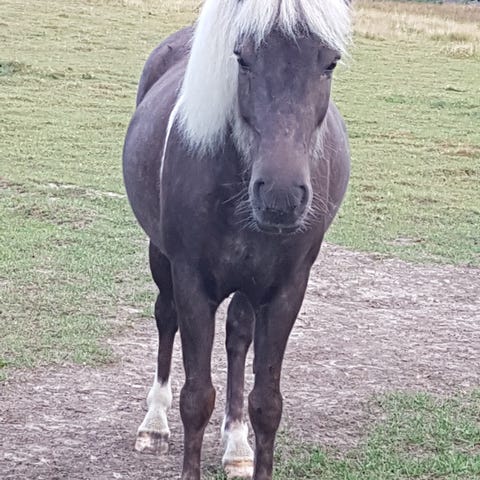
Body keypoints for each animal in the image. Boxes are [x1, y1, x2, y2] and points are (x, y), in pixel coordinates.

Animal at [122, 1, 351, 479]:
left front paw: (246, 443)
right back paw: (154, 424)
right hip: (161, 258)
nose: (281, 196)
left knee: (237, 337)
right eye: (242, 58)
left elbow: (267, 404)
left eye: (330, 62)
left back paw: (236, 445)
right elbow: (196, 398)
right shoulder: (191, 282)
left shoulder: (284, 291)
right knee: (165, 318)